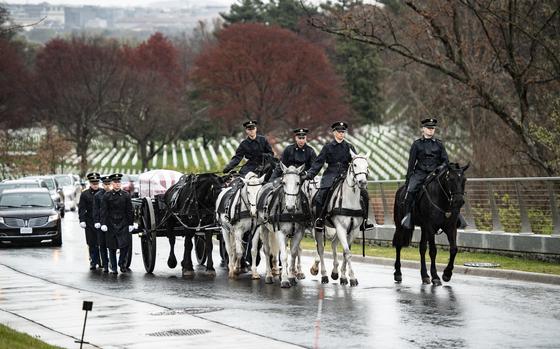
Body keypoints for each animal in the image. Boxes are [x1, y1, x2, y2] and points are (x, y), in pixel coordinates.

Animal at [308, 152, 370, 286]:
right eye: (354, 164)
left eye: (367, 166)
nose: (362, 182)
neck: (350, 199)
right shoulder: (341, 228)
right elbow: (347, 252)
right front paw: (352, 278)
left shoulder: (354, 230)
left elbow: (346, 252)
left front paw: (343, 276)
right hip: (317, 227)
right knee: (320, 249)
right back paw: (324, 275)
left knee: (333, 244)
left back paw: (334, 272)